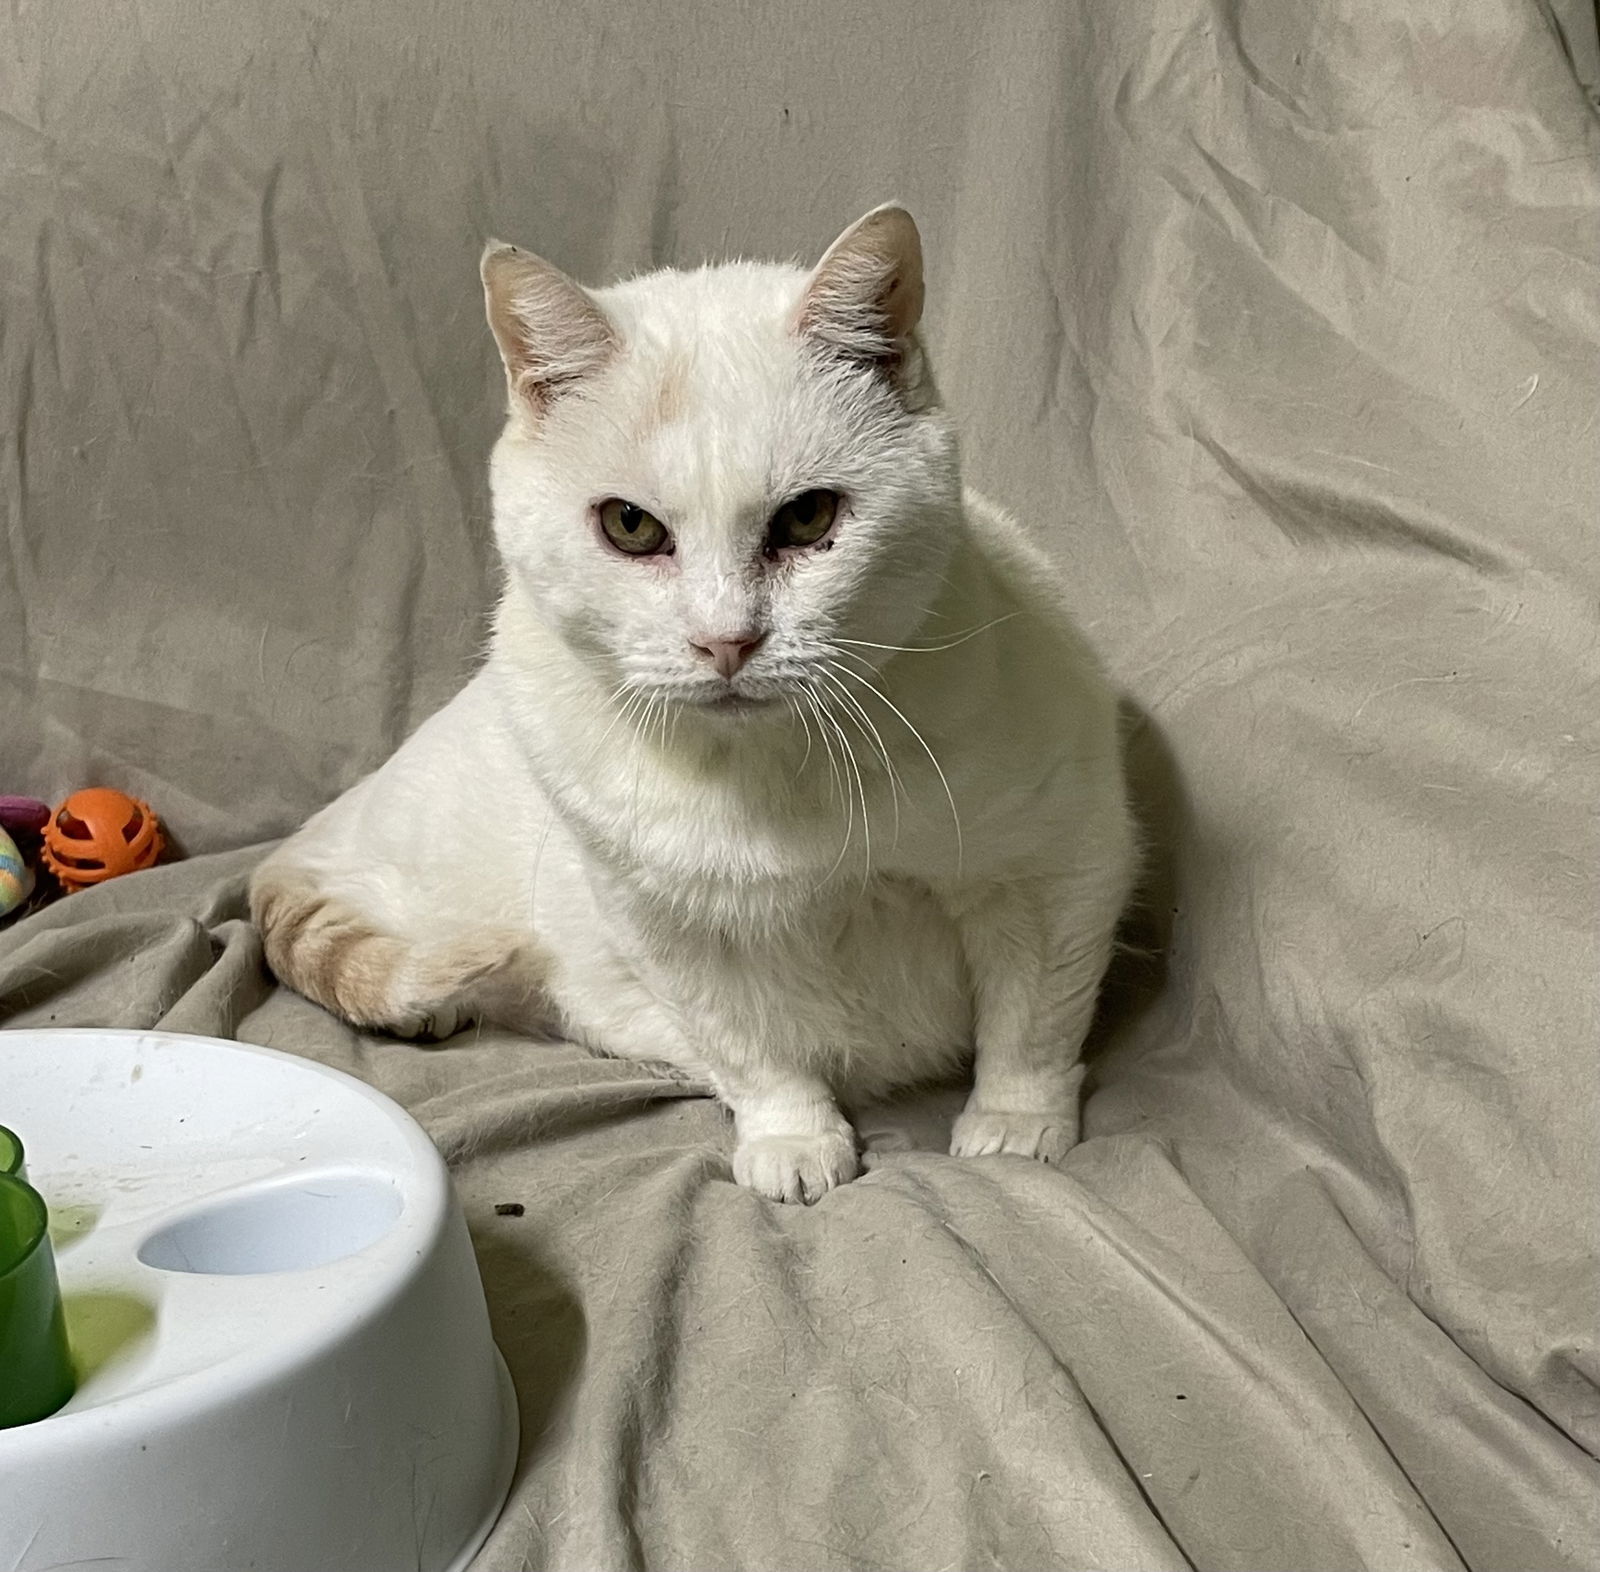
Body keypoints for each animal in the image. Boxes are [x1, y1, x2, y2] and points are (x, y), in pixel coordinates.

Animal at [252, 206, 1139, 1203]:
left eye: (808, 518)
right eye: (631, 526)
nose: (726, 641)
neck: (782, 776)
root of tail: (315, 833)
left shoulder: (1056, 868)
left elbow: (1032, 1023)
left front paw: (1014, 1129)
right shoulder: (672, 932)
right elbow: (758, 1054)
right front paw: (795, 1142)